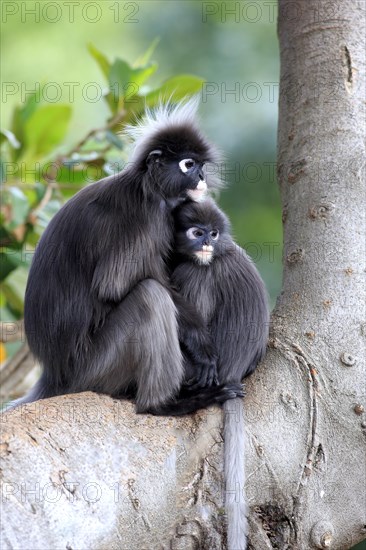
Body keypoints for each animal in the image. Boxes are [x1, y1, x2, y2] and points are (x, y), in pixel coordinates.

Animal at [10, 98, 243, 414]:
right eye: (189, 164)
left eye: (202, 165)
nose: (202, 177)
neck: (147, 187)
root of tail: (54, 375)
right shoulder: (146, 217)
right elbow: (115, 285)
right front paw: (200, 342)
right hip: (94, 368)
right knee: (150, 296)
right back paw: (163, 405)